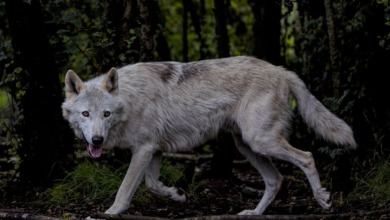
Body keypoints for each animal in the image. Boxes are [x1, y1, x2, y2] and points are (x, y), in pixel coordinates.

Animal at [61, 55, 356, 215]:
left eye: (106, 114)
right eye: (86, 114)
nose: (97, 141)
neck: (129, 100)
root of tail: (282, 71)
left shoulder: (144, 149)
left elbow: (124, 191)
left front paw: (110, 213)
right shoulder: (154, 149)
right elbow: (153, 185)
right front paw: (179, 195)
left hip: (261, 141)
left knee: (306, 157)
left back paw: (323, 199)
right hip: (248, 146)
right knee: (276, 180)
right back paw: (253, 213)